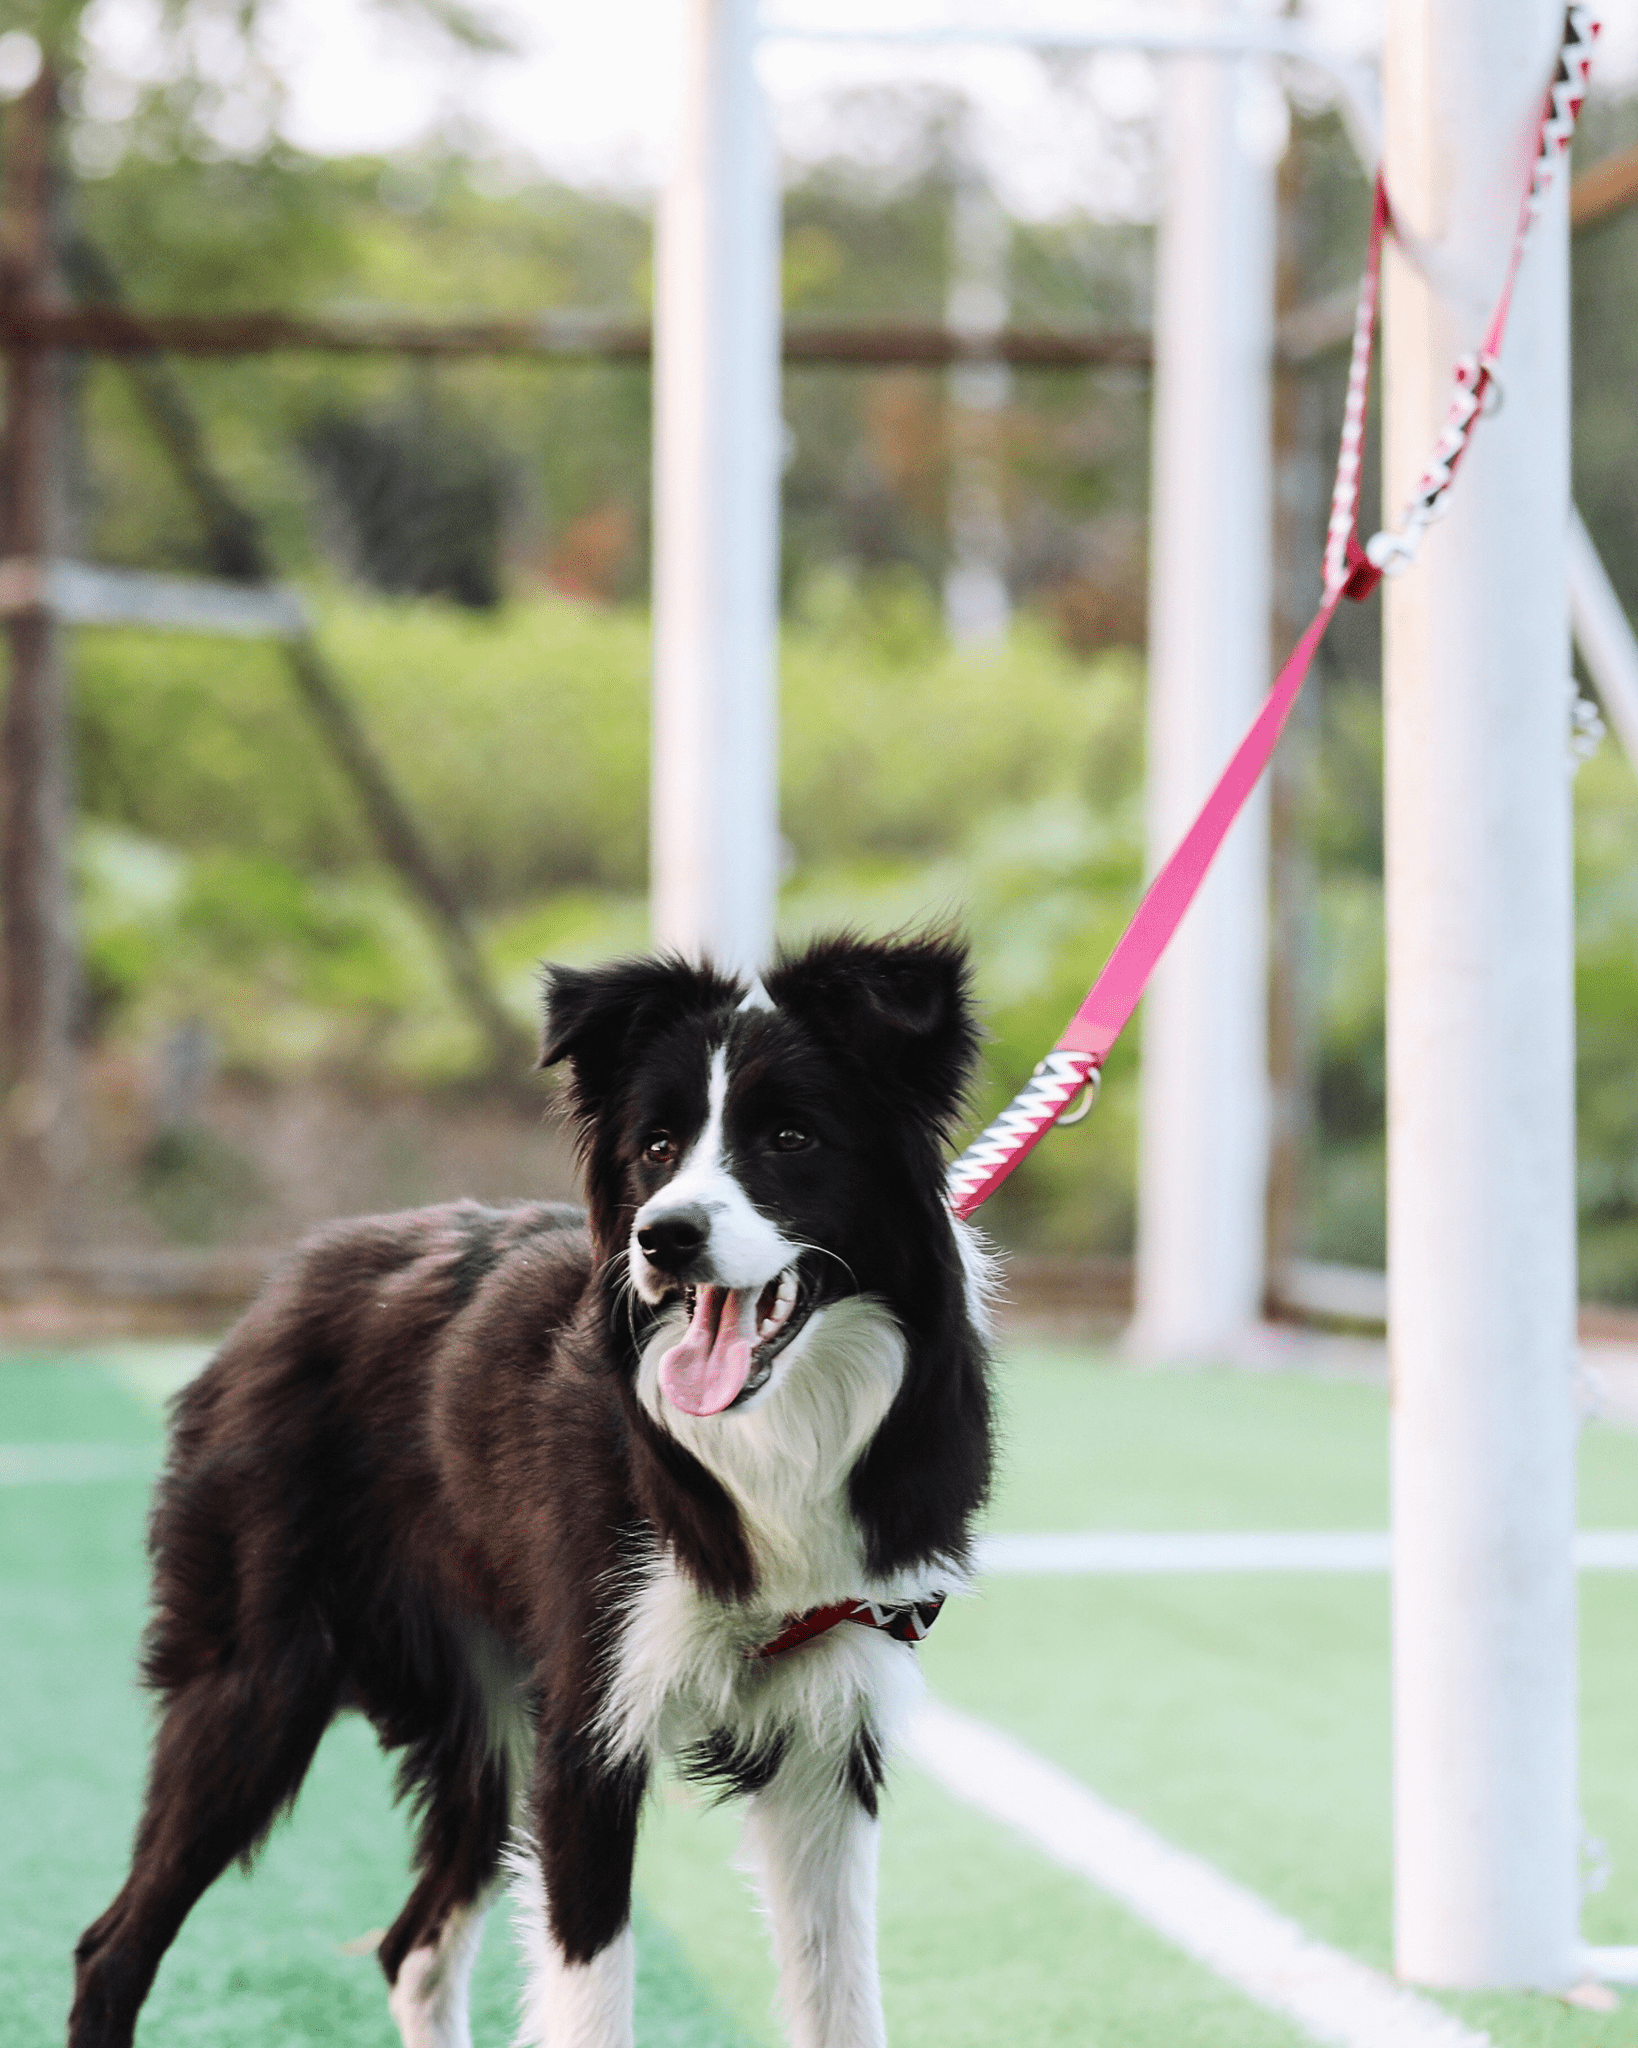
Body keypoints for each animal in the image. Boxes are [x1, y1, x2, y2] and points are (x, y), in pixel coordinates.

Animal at [70, 933, 999, 2048]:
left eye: (791, 1136)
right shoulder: (588, 1734)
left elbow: (842, 2003)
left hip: (482, 1715)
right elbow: (592, 1997)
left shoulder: (827, 1736)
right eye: (656, 1147)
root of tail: (283, 1283)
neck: (770, 1439)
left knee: (411, 1949)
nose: (664, 1237)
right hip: (254, 1681)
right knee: (111, 1946)